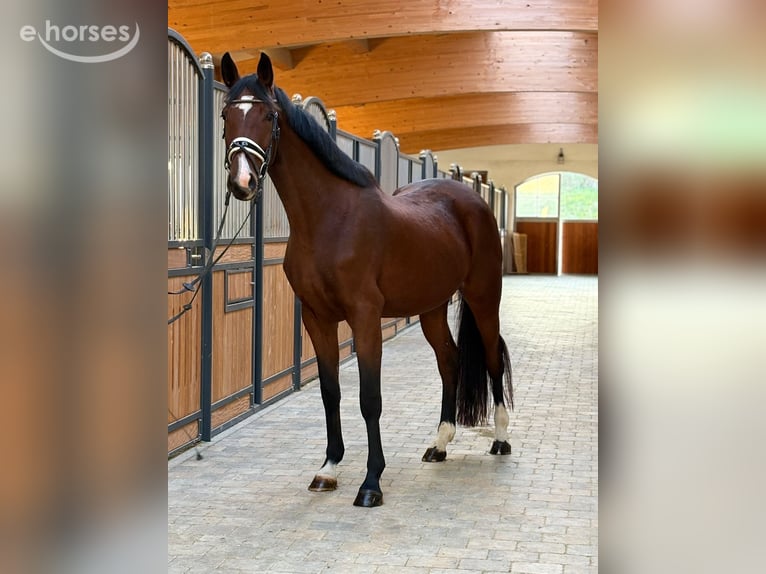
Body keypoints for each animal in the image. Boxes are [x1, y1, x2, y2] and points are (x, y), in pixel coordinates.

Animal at [219, 52, 513, 507]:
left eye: (268, 116)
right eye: (226, 115)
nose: (242, 182)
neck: (329, 220)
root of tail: (472, 200)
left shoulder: (364, 318)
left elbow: (369, 398)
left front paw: (371, 483)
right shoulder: (317, 319)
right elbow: (331, 393)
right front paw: (328, 469)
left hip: (483, 297)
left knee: (493, 356)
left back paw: (499, 439)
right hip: (431, 307)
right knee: (448, 361)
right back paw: (439, 444)